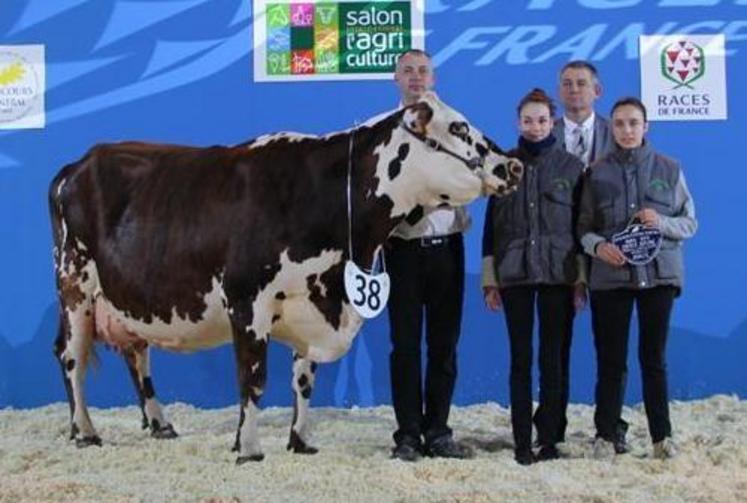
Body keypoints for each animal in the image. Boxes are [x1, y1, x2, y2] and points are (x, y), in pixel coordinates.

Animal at [49, 90, 524, 464]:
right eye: (458, 127)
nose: (512, 166)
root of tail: (77, 165)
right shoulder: (247, 301)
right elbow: (253, 378)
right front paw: (248, 449)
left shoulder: (309, 300)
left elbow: (304, 380)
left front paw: (300, 441)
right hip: (74, 285)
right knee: (70, 355)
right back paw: (85, 432)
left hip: (123, 297)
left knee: (136, 352)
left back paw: (159, 423)